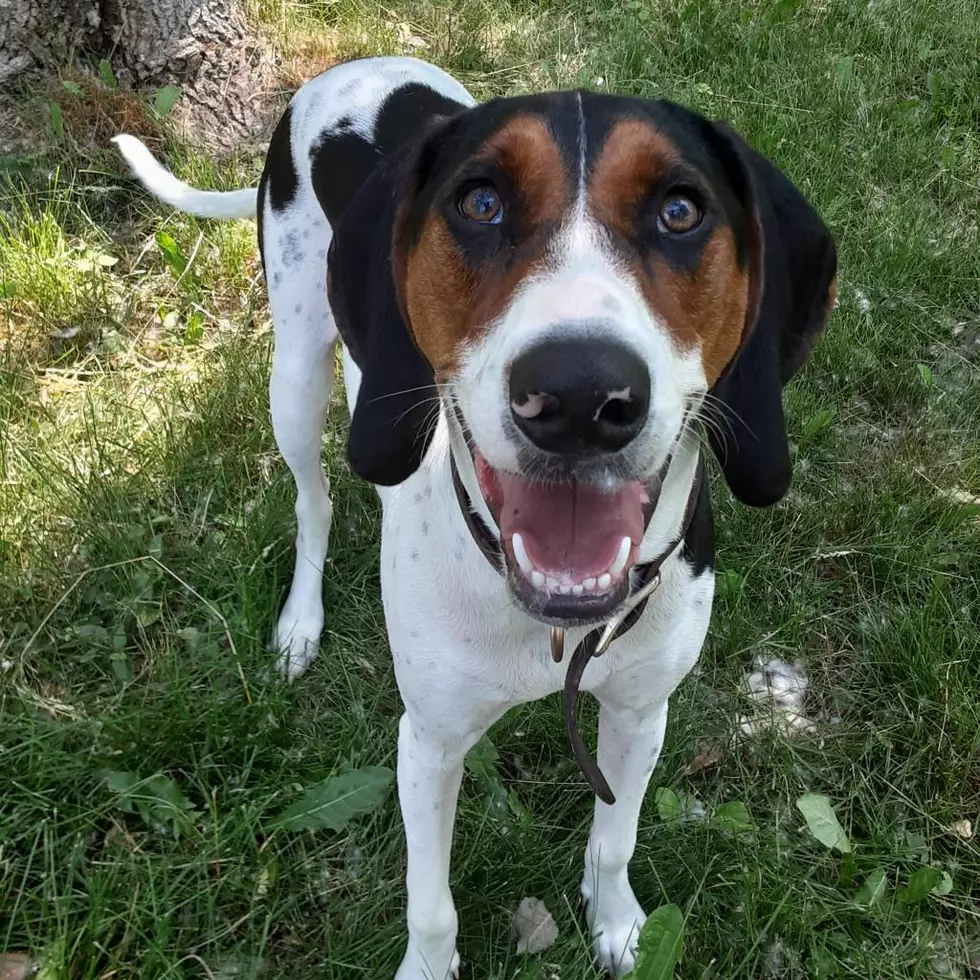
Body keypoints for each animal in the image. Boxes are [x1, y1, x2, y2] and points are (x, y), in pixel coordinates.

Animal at [113, 57, 836, 980]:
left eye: (680, 211)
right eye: (480, 202)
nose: (578, 393)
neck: (552, 624)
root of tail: (351, 70)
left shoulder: (641, 713)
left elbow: (615, 841)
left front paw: (617, 922)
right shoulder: (427, 741)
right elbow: (431, 905)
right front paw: (429, 966)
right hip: (296, 374)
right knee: (313, 501)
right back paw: (300, 623)